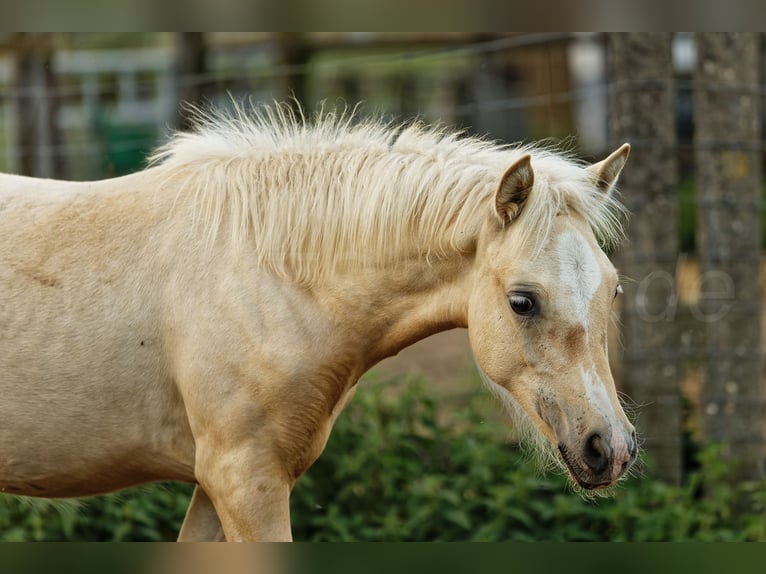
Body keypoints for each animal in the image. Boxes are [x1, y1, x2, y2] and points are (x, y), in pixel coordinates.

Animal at [0, 102, 636, 540]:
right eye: (523, 302)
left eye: (613, 288)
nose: (610, 448)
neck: (266, 273)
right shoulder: (245, 481)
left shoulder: (217, 486)